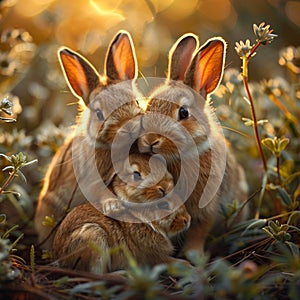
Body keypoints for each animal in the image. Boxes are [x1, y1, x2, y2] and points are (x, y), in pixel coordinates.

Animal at [52, 154, 191, 274]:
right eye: (164, 205)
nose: (187, 220)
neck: (145, 219)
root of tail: (61, 258)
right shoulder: (154, 257)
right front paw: (189, 266)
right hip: (93, 238)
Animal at [137, 34, 247, 255]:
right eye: (148, 106)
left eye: (184, 112)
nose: (151, 140)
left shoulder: (206, 207)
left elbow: (199, 231)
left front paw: (192, 255)